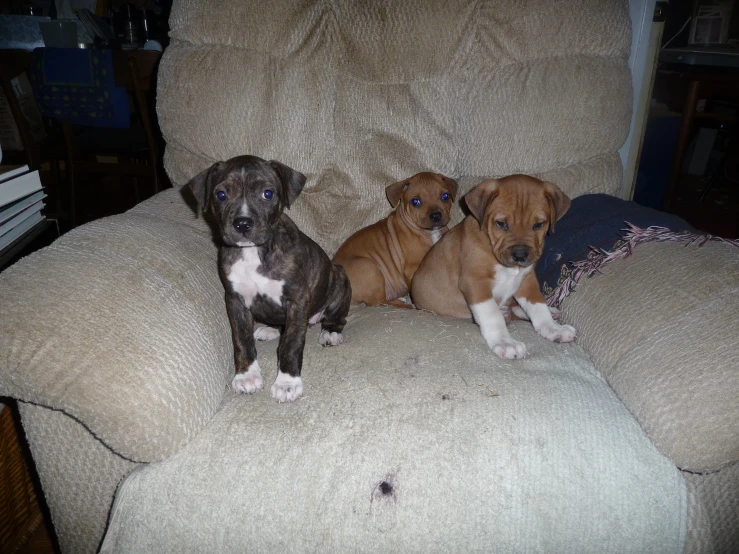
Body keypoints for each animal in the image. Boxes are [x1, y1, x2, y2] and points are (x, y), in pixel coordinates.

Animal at [334, 171, 456, 306]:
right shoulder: (412, 268)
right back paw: (406, 304)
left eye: (445, 196)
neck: (429, 232)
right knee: (378, 301)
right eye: (415, 201)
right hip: (368, 266)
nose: (436, 216)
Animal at [410, 175, 580, 360]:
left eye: (538, 224)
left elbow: (538, 305)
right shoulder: (475, 283)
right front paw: (505, 342)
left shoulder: (527, 281)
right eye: (501, 223)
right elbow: (492, 314)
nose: (520, 255)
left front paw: (553, 328)